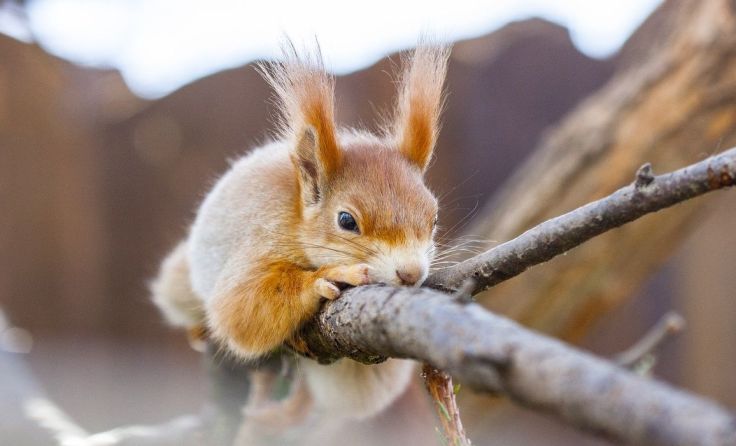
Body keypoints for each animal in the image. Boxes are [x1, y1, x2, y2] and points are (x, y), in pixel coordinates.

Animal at [150, 42, 449, 427]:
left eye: (434, 219)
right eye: (346, 220)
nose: (411, 273)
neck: (298, 220)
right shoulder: (262, 235)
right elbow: (239, 309)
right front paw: (326, 278)